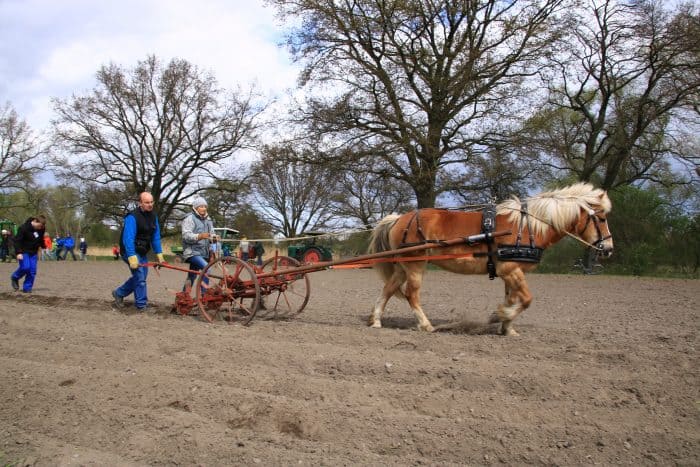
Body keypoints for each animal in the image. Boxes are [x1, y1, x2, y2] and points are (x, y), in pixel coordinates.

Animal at [366, 183, 612, 336]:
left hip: (403, 266)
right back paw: (426, 325)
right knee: (412, 295)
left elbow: (513, 299)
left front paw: (507, 328)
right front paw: (499, 316)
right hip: (415, 265)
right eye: (601, 218)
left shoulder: (509, 273)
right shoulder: (511, 270)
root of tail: (399, 218)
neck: (528, 227)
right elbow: (527, 299)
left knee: (388, 289)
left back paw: (376, 321)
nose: (608, 249)